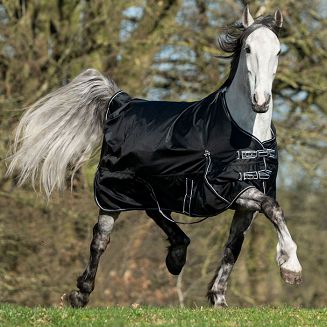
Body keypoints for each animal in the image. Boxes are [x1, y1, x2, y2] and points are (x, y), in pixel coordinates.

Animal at [7, 6, 302, 308]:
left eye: (278, 51)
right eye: (248, 48)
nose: (260, 101)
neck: (245, 133)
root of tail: (120, 102)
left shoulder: (245, 199)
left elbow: (234, 245)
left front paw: (218, 298)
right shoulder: (227, 189)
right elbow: (272, 207)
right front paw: (290, 268)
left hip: (151, 187)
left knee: (155, 212)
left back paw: (176, 257)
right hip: (113, 191)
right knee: (101, 238)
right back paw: (80, 294)